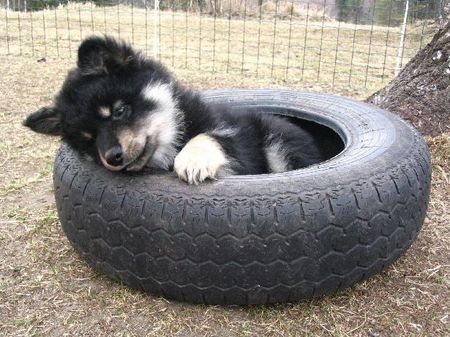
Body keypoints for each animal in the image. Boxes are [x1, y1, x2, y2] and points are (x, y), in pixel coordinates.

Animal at [24, 35, 326, 184]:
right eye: (88, 139)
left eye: (119, 111)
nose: (112, 158)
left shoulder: (234, 134)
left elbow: (208, 136)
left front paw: (193, 160)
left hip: (278, 143)